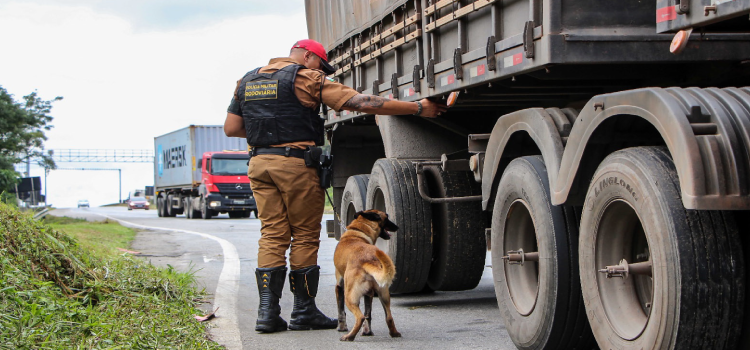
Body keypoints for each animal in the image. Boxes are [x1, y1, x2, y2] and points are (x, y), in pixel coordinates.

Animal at [334, 209, 400, 340]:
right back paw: (392, 333)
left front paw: (342, 327)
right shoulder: (369, 294)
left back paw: (349, 336)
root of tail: (368, 259)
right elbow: (368, 313)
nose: (397, 227)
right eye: (387, 217)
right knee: (388, 317)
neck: (357, 232)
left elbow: (341, 311)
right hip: (383, 294)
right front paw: (367, 331)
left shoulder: (339, 287)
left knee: (360, 317)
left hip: (350, 297)